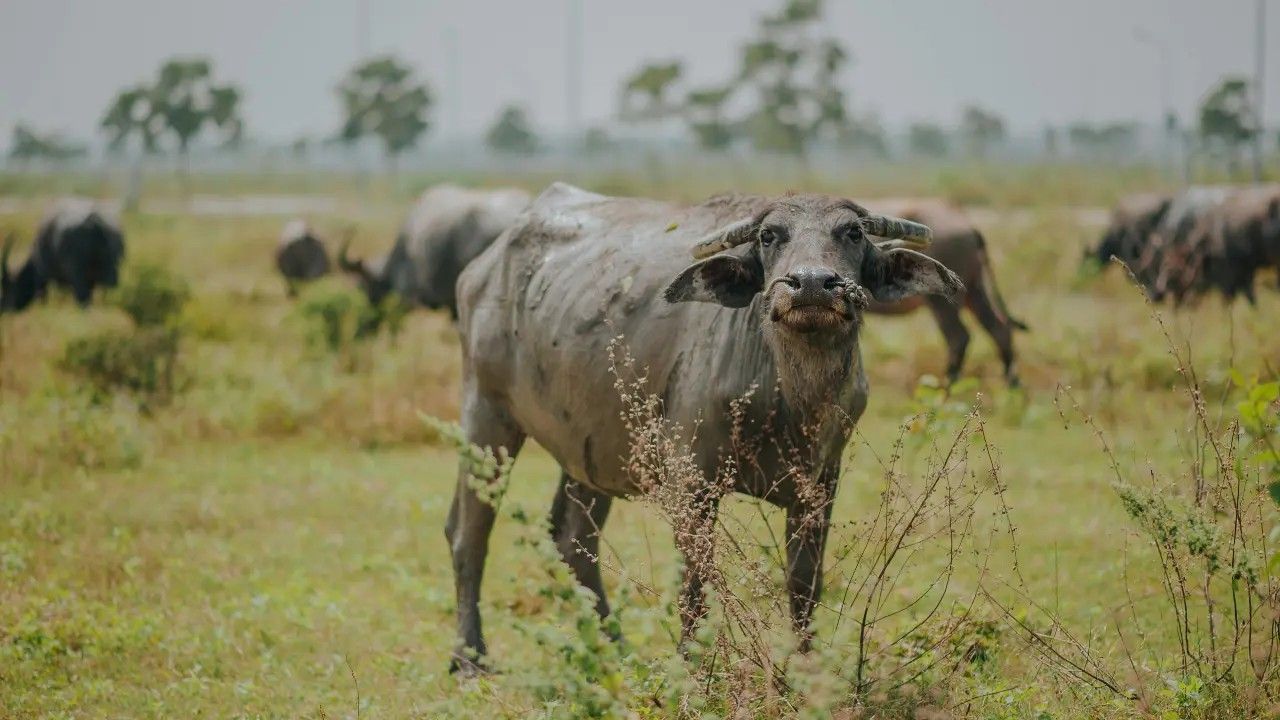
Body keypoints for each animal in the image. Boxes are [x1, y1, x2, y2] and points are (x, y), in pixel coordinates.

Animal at [446, 183, 962, 673]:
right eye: (769, 236)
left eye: (852, 233)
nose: (812, 284)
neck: (788, 397)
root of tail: (482, 269)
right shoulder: (691, 481)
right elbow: (695, 585)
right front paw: (692, 669)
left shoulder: (820, 483)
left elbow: (804, 584)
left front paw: (805, 668)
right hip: (487, 418)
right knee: (469, 534)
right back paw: (471, 658)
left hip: (590, 449)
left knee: (572, 539)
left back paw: (615, 650)